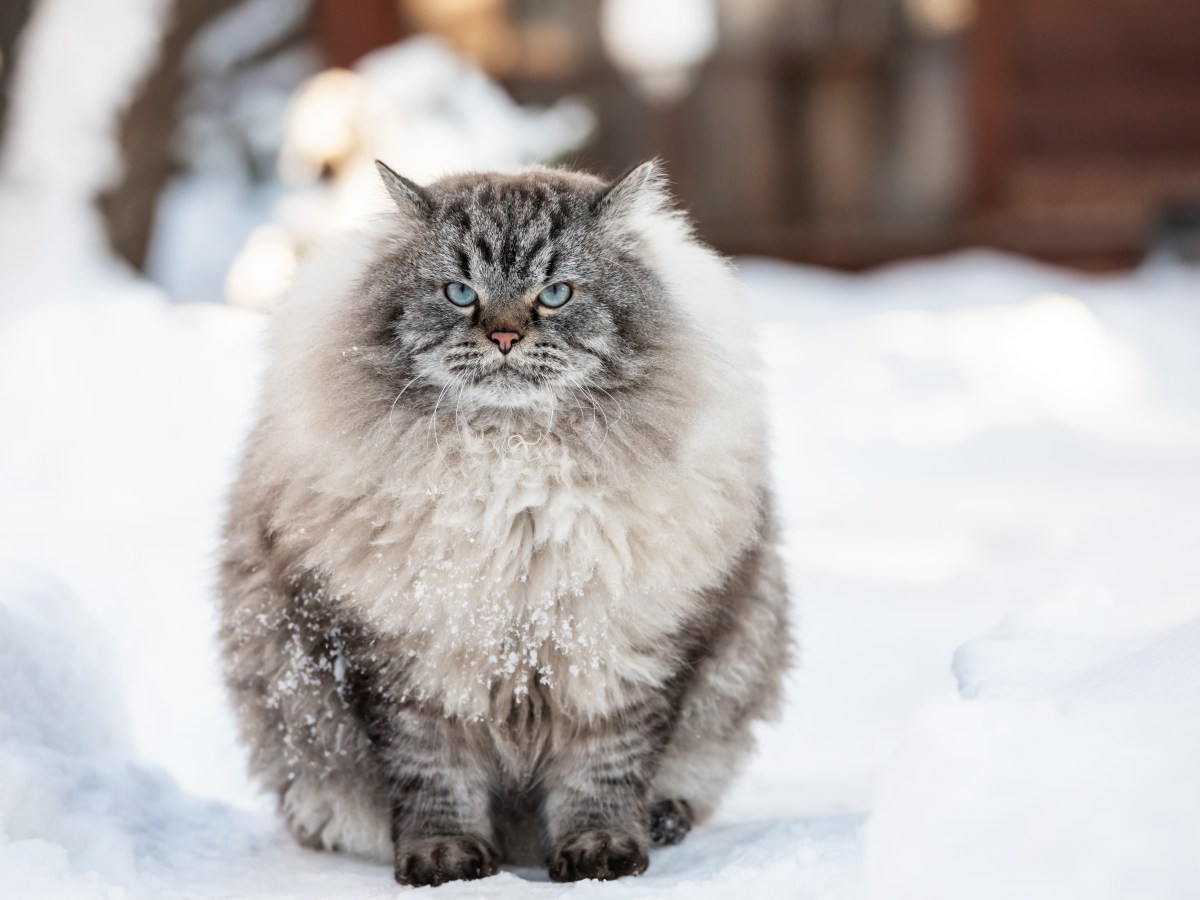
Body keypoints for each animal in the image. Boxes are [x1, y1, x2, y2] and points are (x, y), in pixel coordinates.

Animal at [219, 158, 792, 883]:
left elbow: (603, 775)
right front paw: (445, 863)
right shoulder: (409, 661)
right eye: (460, 292)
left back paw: (663, 823)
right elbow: (434, 779)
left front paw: (601, 856)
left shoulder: (620, 651)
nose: (504, 336)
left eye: (556, 294)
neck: (512, 467)